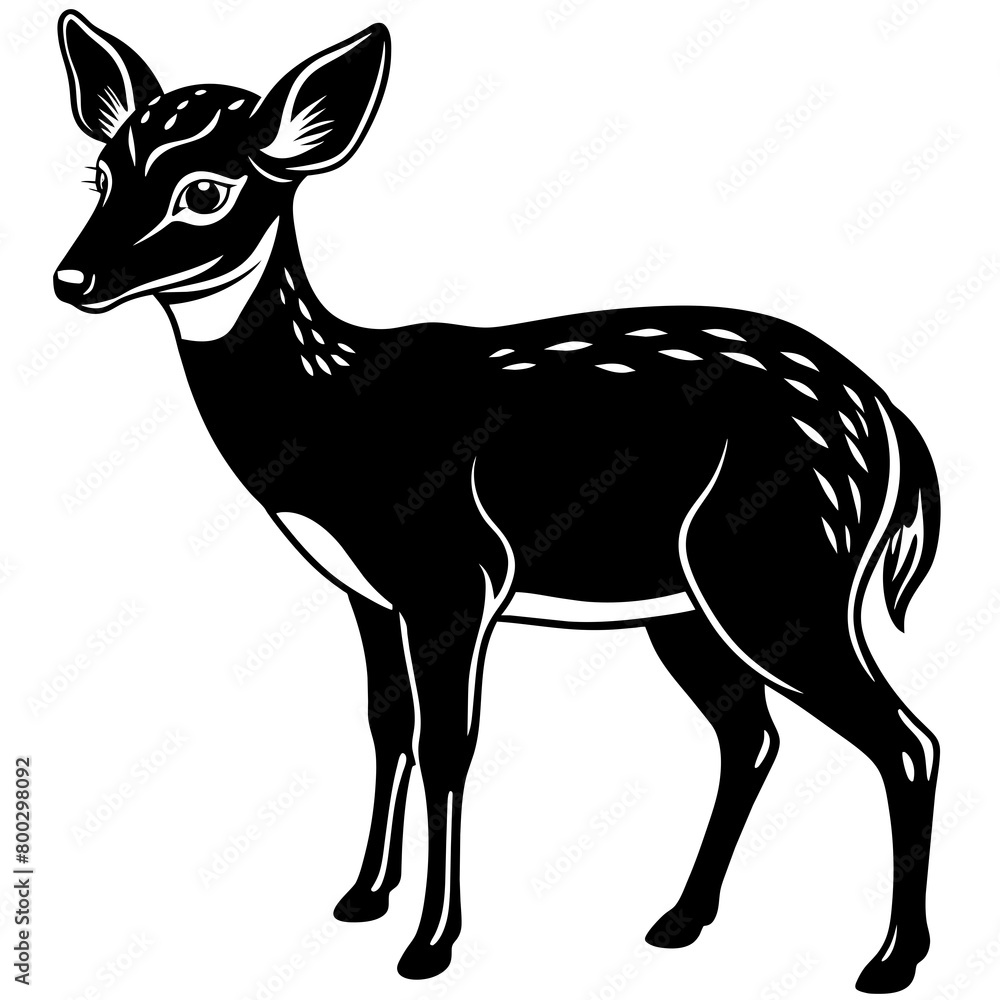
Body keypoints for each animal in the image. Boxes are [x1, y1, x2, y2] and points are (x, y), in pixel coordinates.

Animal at [53, 10, 941, 993]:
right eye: (100, 173)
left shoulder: (457, 569)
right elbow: (388, 727)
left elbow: (451, 744)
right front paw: (362, 896)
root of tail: (889, 425)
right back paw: (680, 920)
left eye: (206, 190)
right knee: (753, 737)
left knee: (906, 739)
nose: (72, 279)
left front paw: (429, 945)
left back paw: (889, 961)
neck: (335, 407)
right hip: (691, 601)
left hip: (781, 568)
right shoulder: (370, 591)